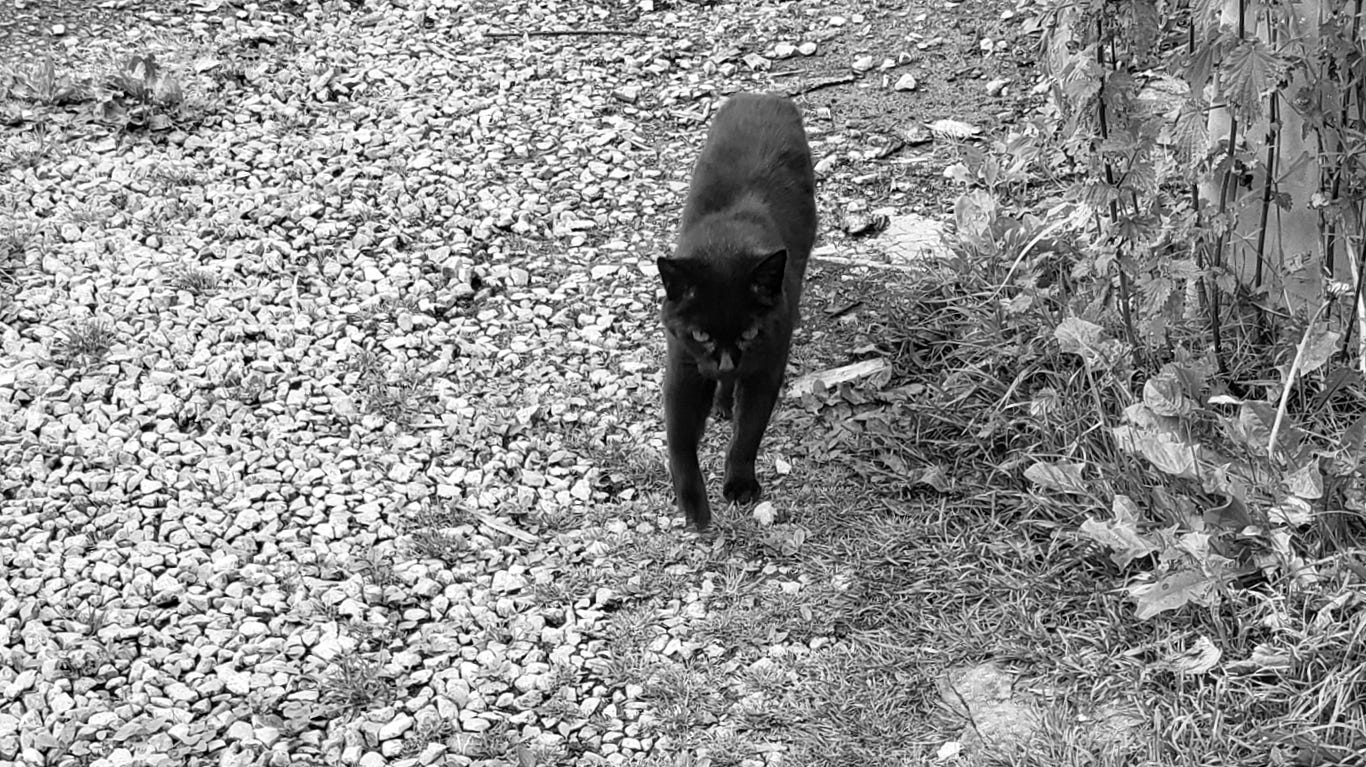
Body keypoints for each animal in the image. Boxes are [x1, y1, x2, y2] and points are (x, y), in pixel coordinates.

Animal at [655, 92, 814, 530]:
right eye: (701, 334)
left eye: (749, 333)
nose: (726, 362)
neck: (728, 242)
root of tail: (763, 95)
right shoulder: (683, 367)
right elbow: (680, 440)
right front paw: (694, 507)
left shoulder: (767, 363)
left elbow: (749, 431)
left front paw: (740, 485)